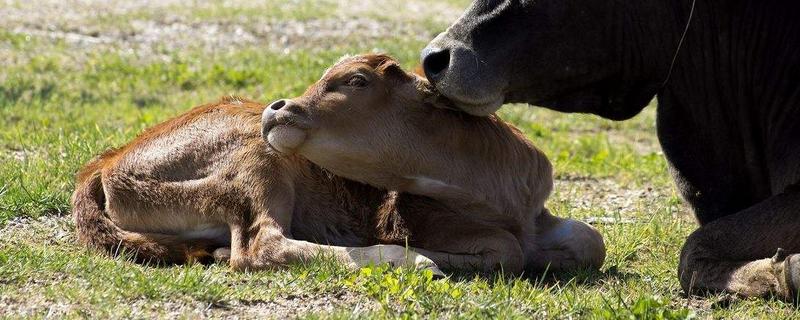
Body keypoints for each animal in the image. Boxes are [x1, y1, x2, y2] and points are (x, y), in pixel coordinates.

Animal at [72, 53, 608, 274]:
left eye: (356, 80)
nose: (277, 107)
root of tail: (102, 165)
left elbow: (590, 239)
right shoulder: (409, 214)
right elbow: (505, 251)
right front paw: (431, 257)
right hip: (258, 160)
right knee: (262, 246)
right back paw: (412, 262)